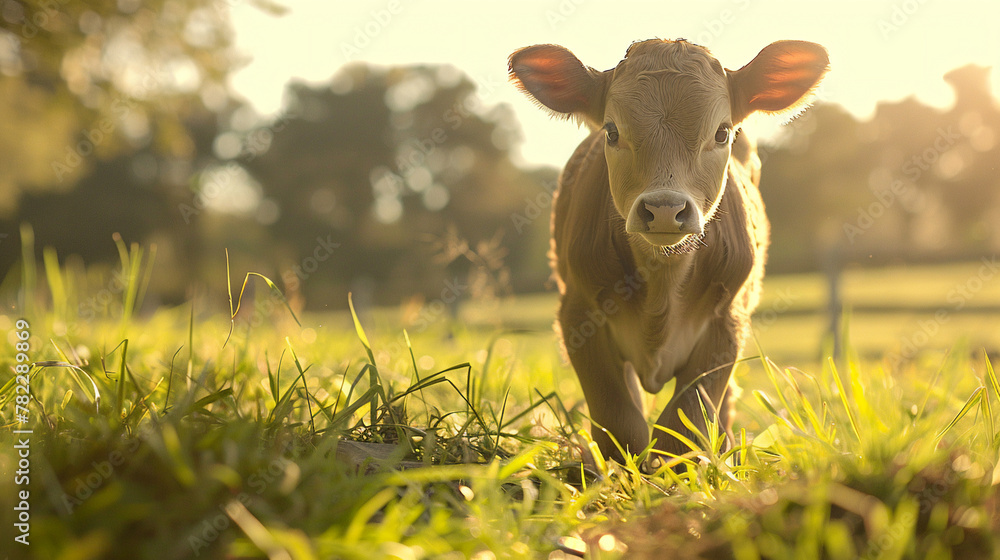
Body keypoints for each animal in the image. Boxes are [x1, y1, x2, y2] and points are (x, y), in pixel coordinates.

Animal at [508, 39, 828, 464]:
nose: (663, 209)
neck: (662, 278)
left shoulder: (726, 323)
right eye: (612, 132)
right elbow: (620, 422)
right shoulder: (578, 315)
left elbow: (683, 428)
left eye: (722, 133)